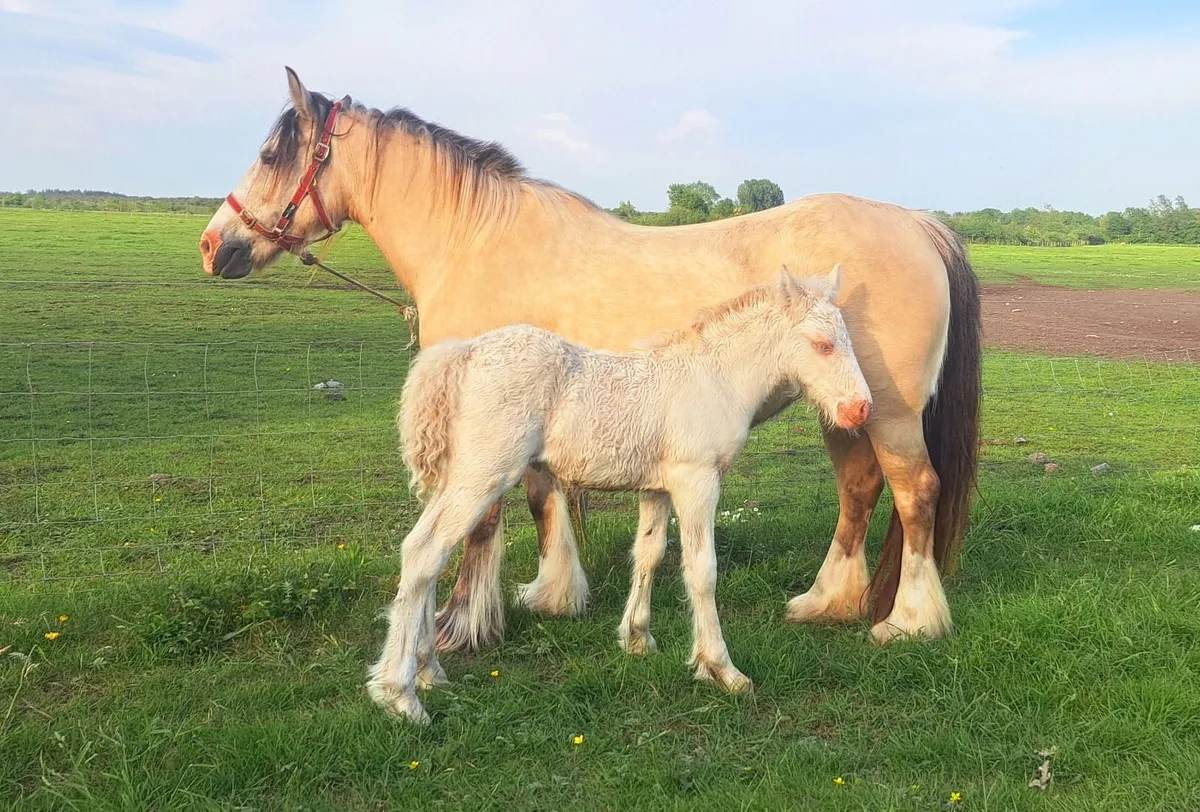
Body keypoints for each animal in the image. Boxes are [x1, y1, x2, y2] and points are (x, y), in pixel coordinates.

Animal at [200, 67, 982, 647]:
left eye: (270, 154)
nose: (213, 245)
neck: (475, 240)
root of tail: (918, 223)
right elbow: (543, 497)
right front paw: (554, 593)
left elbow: (485, 520)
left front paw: (460, 625)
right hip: (843, 408)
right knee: (860, 490)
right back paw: (826, 603)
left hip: (888, 413)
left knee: (915, 493)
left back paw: (908, 621)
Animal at [368, 266, 873, 723]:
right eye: (822, 345)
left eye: (847, 339)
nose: (860, 409)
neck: (713, 378)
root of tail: (465, 352)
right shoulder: (697, 481)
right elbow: (702, 571)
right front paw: (721, 669)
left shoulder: (657, 489)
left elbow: (649, 553)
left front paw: (636, 639)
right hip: (483, 475)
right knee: (425, 552)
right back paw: (400, 694)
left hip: (460, 477)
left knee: (426, 554)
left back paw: (429, 670)